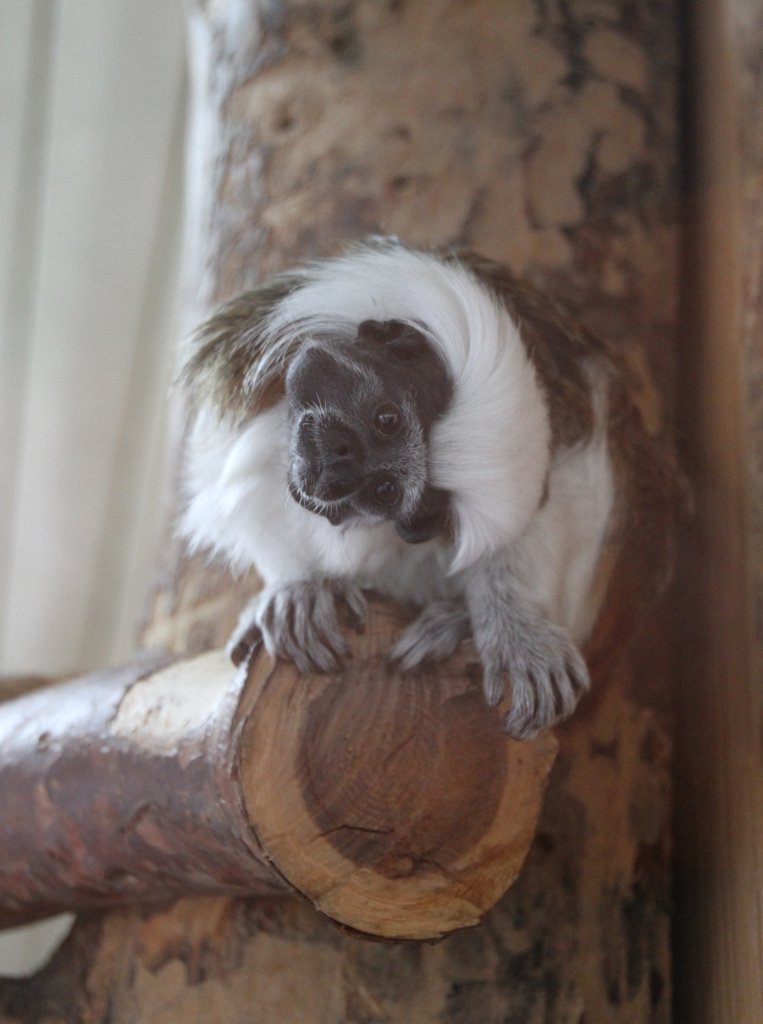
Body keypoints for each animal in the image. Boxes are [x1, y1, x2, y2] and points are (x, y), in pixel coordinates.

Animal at [175, 239, 667, 737]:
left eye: (385, 491)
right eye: (387, 419)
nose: (338, 467)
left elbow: (566, 496)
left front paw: (512, 625)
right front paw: (304, 587)